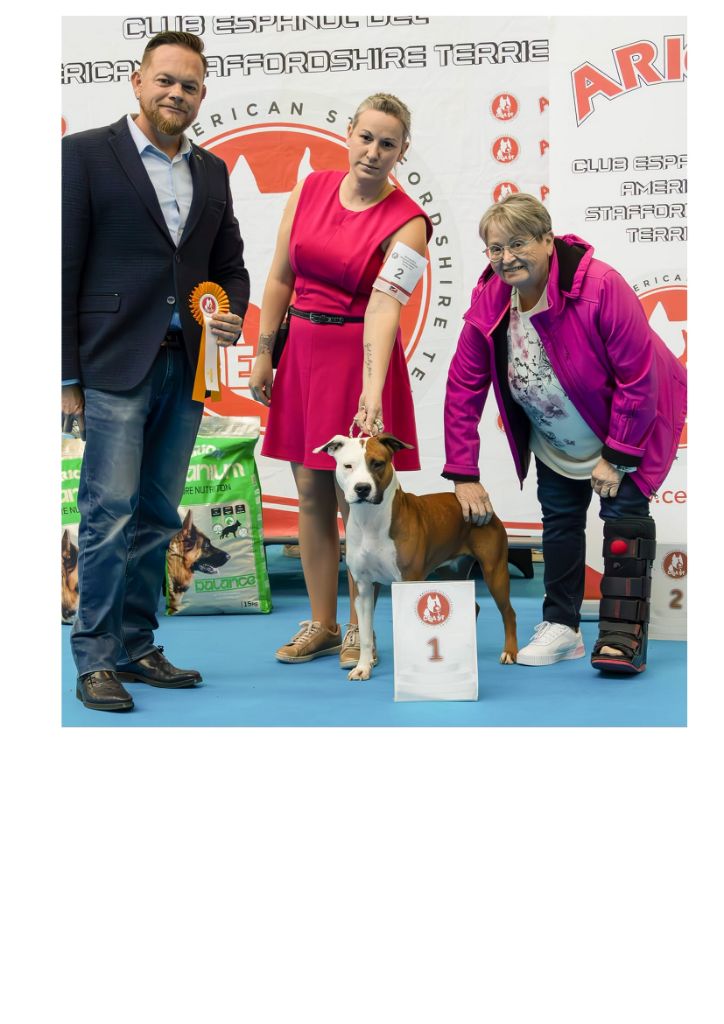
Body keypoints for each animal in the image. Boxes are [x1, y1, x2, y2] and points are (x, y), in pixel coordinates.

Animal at [313, 433, 518, 680]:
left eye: (377, 463)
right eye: (348, 466)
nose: (362, 488)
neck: (370, 521)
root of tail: (486, 508)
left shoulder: (408, 580)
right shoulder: (363, 588)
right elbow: (365, 635)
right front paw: (363, 667)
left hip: (494, 571)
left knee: (508, 612)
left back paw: (509, 652)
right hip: (452, 571)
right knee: (475, 606)